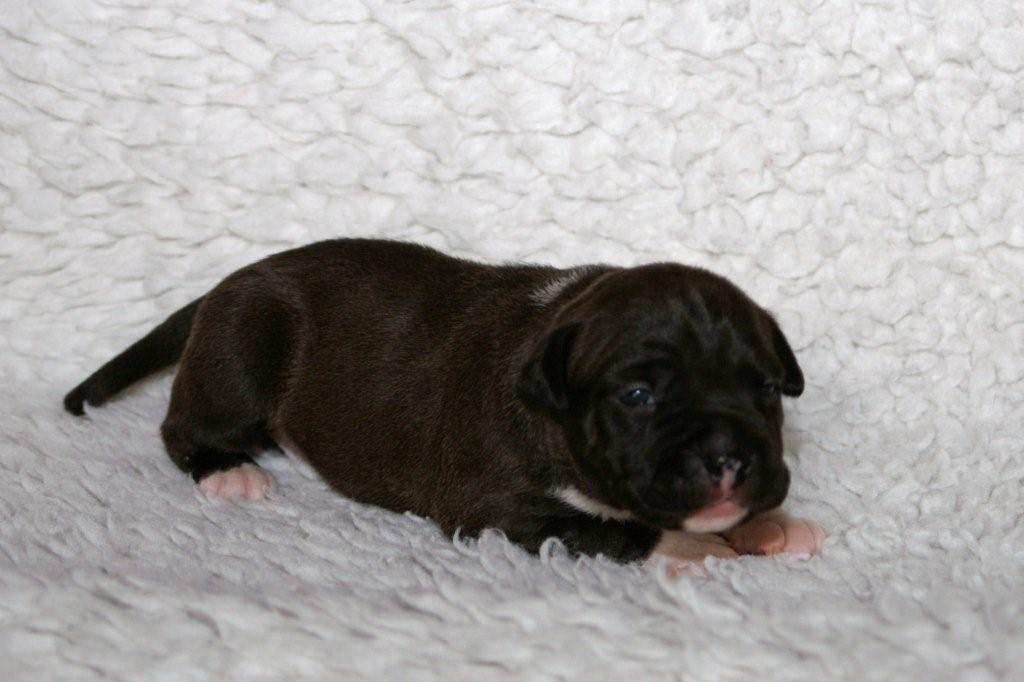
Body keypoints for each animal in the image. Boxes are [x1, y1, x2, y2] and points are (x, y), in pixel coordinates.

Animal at [64, 239, 823, 564]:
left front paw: (768, 525)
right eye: (638, 396)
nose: (729, 459)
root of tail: (232, 279)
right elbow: (613, 528)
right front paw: (695, 547)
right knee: (182, 427)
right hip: (238, 351)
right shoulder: (498, 508)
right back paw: (230, 471)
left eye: (764, 390)